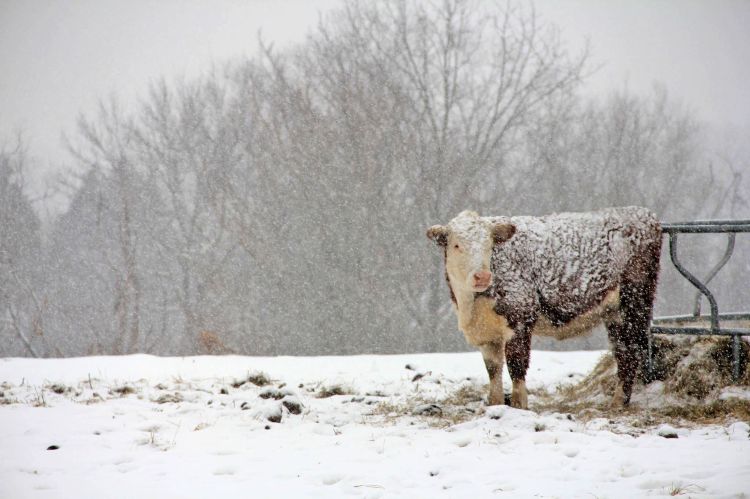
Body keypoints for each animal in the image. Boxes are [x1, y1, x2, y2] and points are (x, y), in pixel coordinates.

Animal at [428, 207, 664, 410]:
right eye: (457, 245)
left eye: (489, 245)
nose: (482, 276)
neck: (471, 305)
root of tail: (643, 213)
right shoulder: (486, 334)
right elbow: (493, 371)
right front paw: (495, 404)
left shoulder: (520, 317)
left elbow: (516, 366)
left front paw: (519, 406)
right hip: (614, 313)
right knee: (623, 352)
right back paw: (617, 403)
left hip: (634, 302)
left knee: (632, 350)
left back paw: (618, 402)